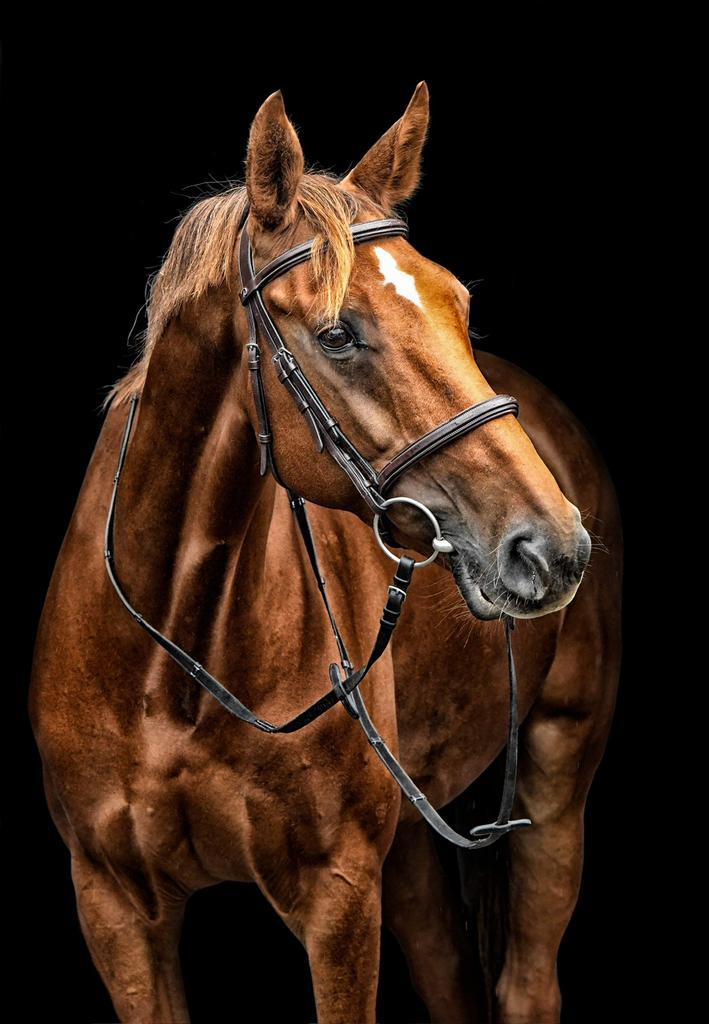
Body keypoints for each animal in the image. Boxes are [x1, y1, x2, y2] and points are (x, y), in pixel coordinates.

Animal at [29, 82, 622, 1023]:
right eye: (338, 334)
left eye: (457, 305)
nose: (553, 547)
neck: (173, 667)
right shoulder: (114, 905)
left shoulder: (336, 899)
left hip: (557, 778)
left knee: (527, 982)